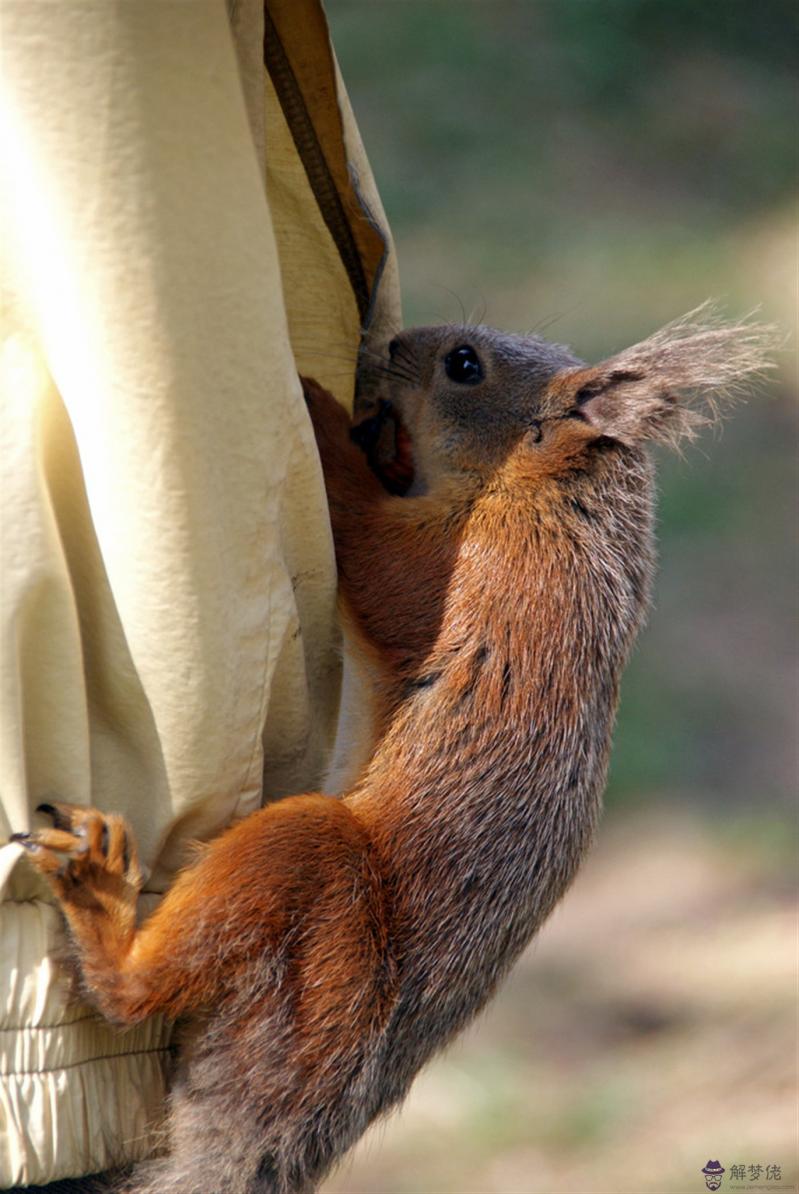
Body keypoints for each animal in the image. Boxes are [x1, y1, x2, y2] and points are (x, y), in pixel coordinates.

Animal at [10, 310, 773, 1194]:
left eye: (464, 366)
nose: (394, 344)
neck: (549, 488)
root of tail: (290, 1118)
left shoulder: (480, 561)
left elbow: (381, 565)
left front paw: (324, 417)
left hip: (319, 898)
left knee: (135, 992)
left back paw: (100, 900)